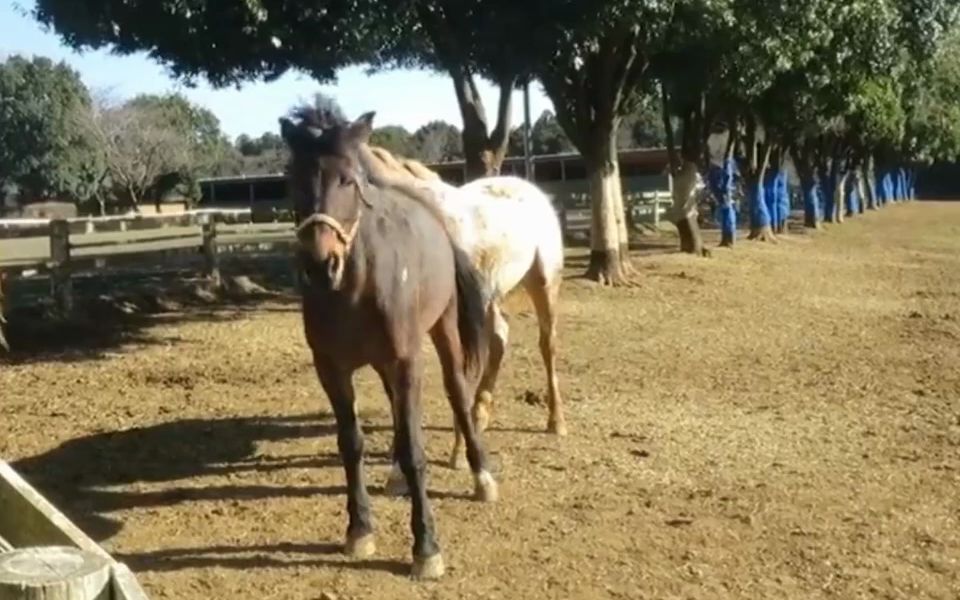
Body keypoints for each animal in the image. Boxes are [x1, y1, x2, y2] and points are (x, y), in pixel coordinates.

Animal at [278, 105, 498, 580]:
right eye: (293, 179)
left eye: (347, 179)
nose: (320, 265)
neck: (355, 289)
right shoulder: (332, 368)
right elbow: (351, 444)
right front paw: (359, 530)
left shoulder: (406, 361)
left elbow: (416, 450)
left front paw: (426, 548)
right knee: (397, 412)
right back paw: (396, 476)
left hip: (442, 331)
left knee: (458, 392)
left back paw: (483, 476)